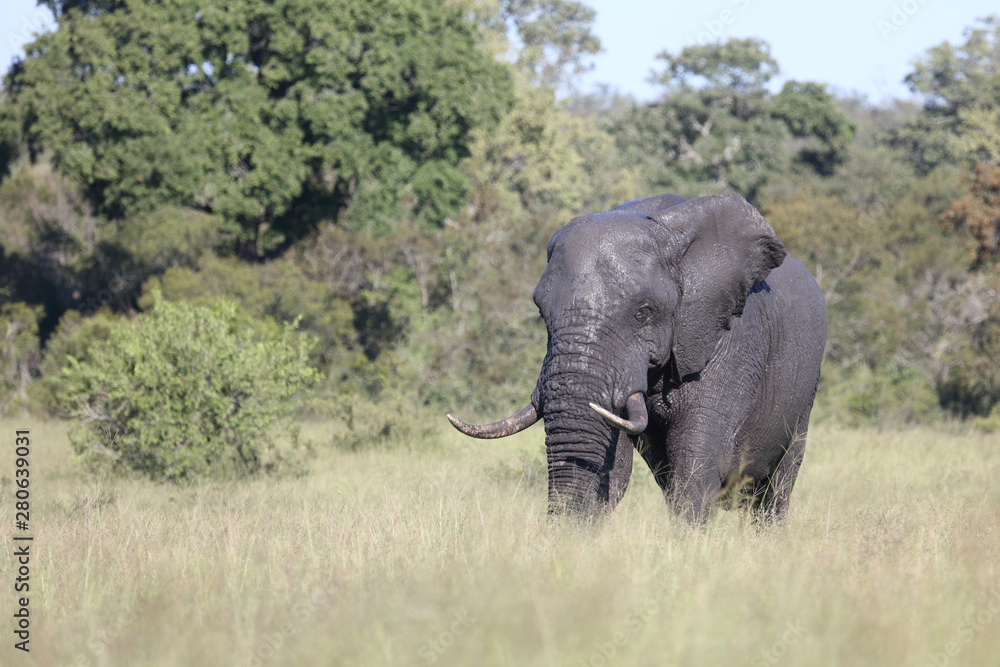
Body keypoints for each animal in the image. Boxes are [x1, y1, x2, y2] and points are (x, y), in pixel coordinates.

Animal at [447, 193, 827, 522]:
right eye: (541, 313)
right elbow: (613, 469)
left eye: (644, 312)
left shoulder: (732, 341)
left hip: (803, 397)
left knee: (777, 488)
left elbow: (696, 460)